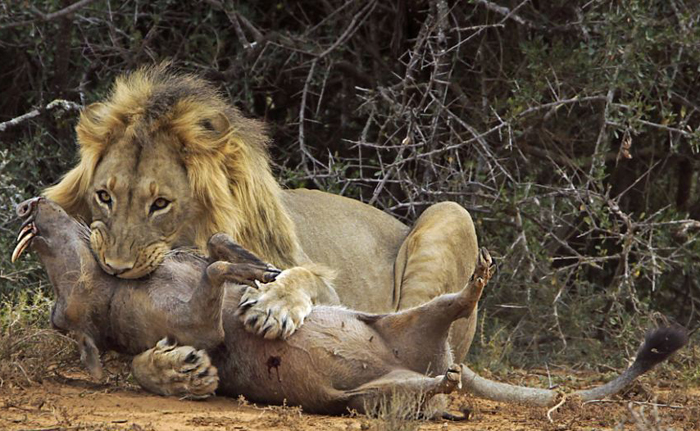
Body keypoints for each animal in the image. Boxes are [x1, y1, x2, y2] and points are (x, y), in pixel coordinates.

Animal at [44, 64, 479, 397]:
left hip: (451, 212)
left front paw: (274, 305)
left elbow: (302, 276)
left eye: (160, 204)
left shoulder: (325, 288)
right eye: (104, 196)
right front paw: (176, 371)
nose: (115, 268)